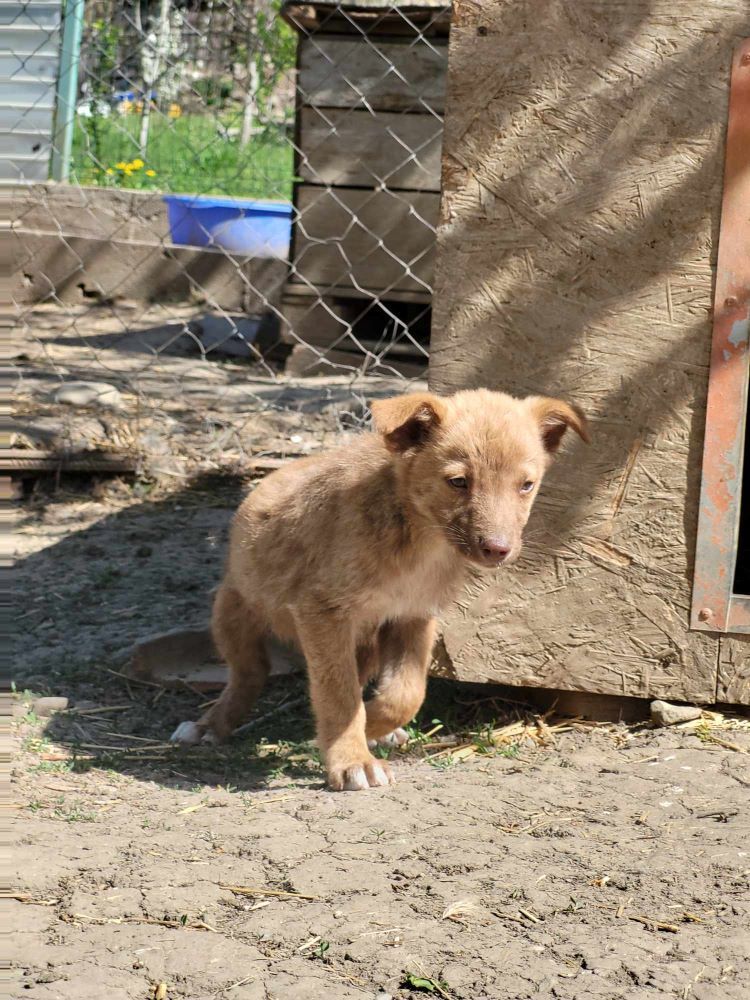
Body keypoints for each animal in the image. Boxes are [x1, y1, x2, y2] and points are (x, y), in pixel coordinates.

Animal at [173, 390, 592, 788]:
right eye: (458, 481)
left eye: (526, 485)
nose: (498, 549)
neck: (418, 540)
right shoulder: (322, 611)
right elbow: (340, 697)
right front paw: (352, 759)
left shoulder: (413, 616)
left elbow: (406, 693)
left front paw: (373, 726)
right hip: (233, 610)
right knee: (250, 672)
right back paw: (209, 726)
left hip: (367, 640)